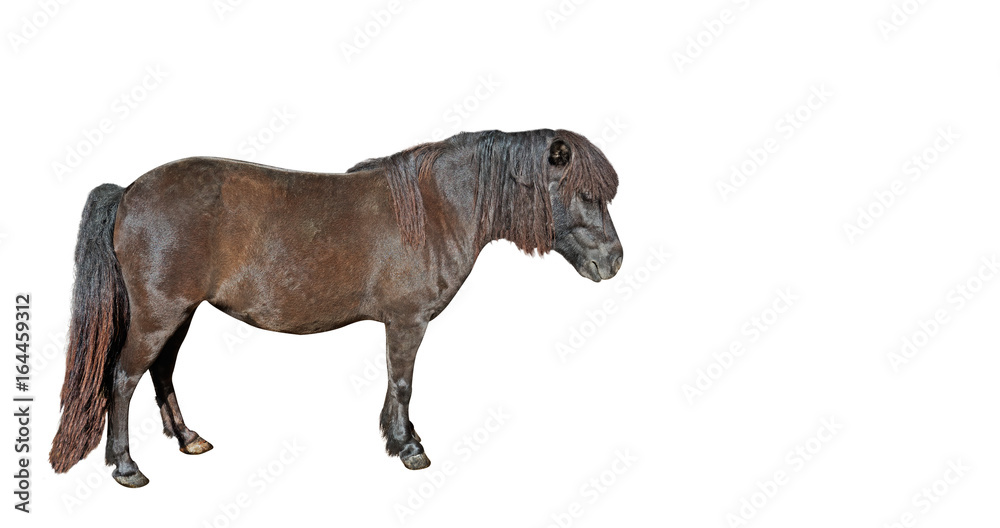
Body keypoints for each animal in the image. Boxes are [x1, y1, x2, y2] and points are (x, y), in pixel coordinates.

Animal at [49, 128, 623, 488]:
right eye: (582, 193)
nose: (613, 261)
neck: (435, 209)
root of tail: (128, 192)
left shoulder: (398, 323)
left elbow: (394, 383)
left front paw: (399, 437)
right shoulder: (407, 321)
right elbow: (403, 383)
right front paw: (409, 448)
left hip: (178, 314)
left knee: (161, 372)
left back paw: (188, 439)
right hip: (158, 315)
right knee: (123, 378)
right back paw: (127, 467)